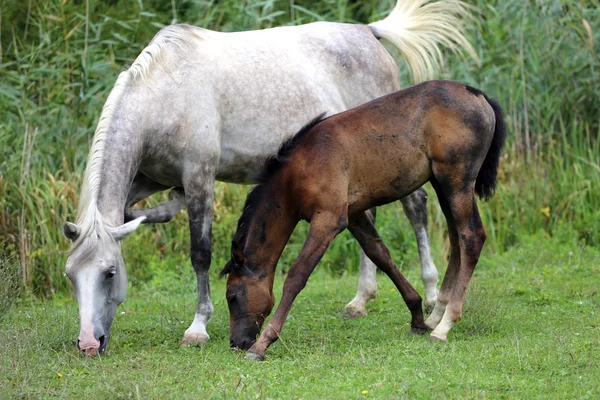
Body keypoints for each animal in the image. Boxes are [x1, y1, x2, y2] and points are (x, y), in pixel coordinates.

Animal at [61, 0, 474, 356]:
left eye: (110, 273)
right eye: (70, 276)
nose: (89, 344)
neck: (165, 92)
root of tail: (367, 31)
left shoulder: (199, 177)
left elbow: (200, 253)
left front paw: (198, 327)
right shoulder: (154, 180)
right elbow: (135, 212)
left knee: (416, 209)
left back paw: (433, 296)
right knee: (369, 217)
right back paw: (361, 299)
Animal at [218, 79, 504, 360]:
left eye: (232, 296)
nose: (236, 343)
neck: (299, 171)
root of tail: (479, 95)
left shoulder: (328, 220)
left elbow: (297, 276)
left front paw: (262, 344)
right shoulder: (354, 215)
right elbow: (380, 255)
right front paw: (416, 317)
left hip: (457, 181)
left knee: (471, 238)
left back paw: (445, 326)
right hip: (441, 183)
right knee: (456, 239)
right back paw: (436, 317)